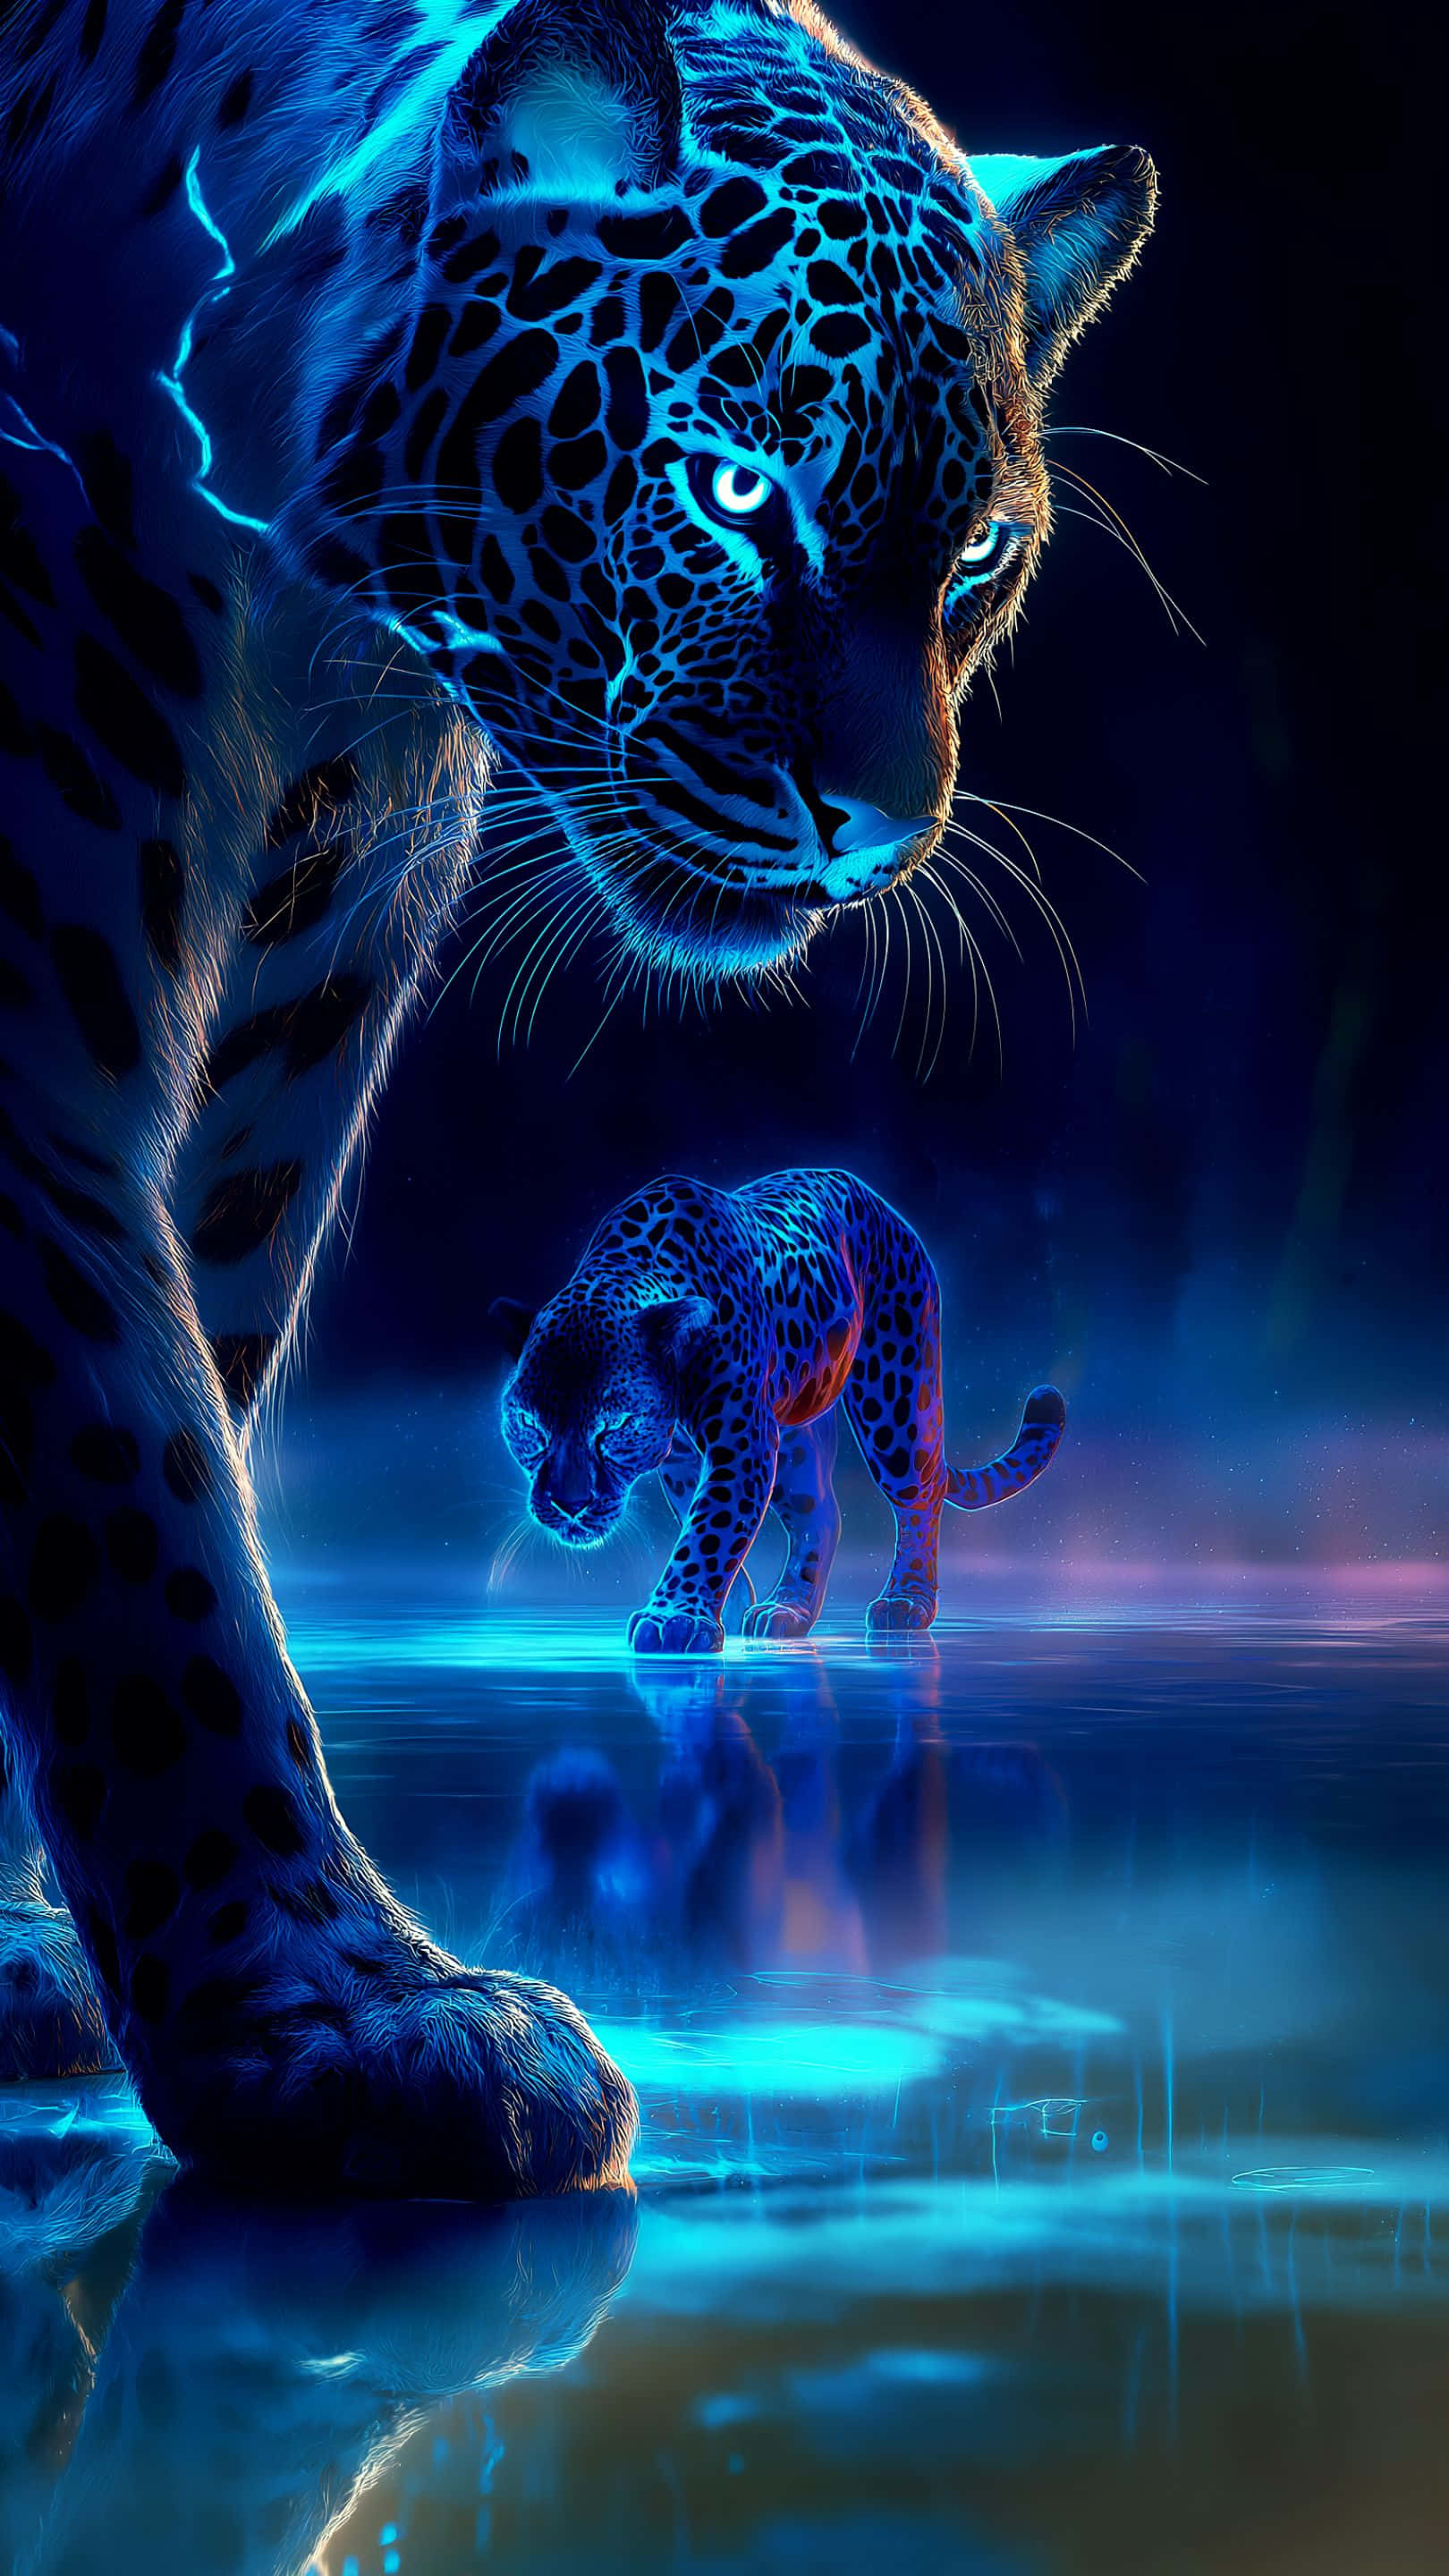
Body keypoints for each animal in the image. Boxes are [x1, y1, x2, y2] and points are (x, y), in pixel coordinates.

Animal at [494, 1166, 1066, 1650]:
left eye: (615, 1427)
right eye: (529, 1426)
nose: (569, 1504)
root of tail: (878, 1200)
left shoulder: (740, 1445)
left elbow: (711, 1527)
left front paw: (674, 1619)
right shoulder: (685, 1459)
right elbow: (701, 1521)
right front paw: (719, 1605)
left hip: (895, 1392)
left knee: (920, 1494)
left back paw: (905, 1603)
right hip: (795, 1437)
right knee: (822, 1513)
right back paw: (785, 1611)